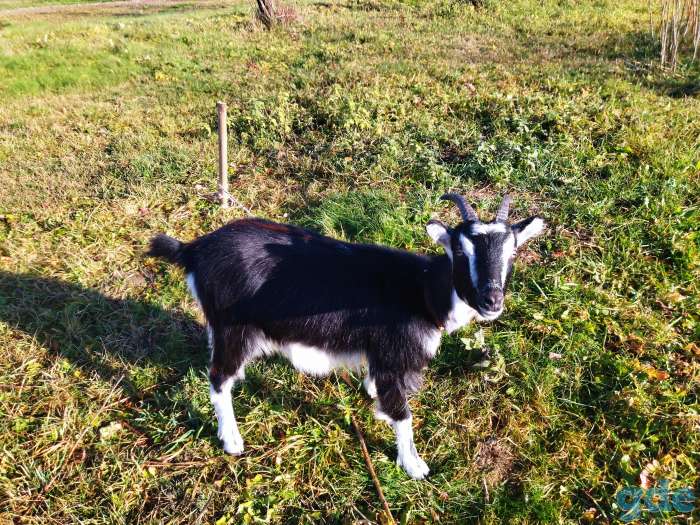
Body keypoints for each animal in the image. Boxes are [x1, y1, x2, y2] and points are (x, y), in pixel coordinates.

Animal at [147, 194, 545, 479]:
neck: (423, 291)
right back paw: (231, 441)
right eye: (462, 252)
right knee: (219, 378)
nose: (491, 301)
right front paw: (414, 466)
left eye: (512, 252)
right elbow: (403, 414)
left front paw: (372, 398)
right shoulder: (392, 354)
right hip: (234, 329)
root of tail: (194, 249)